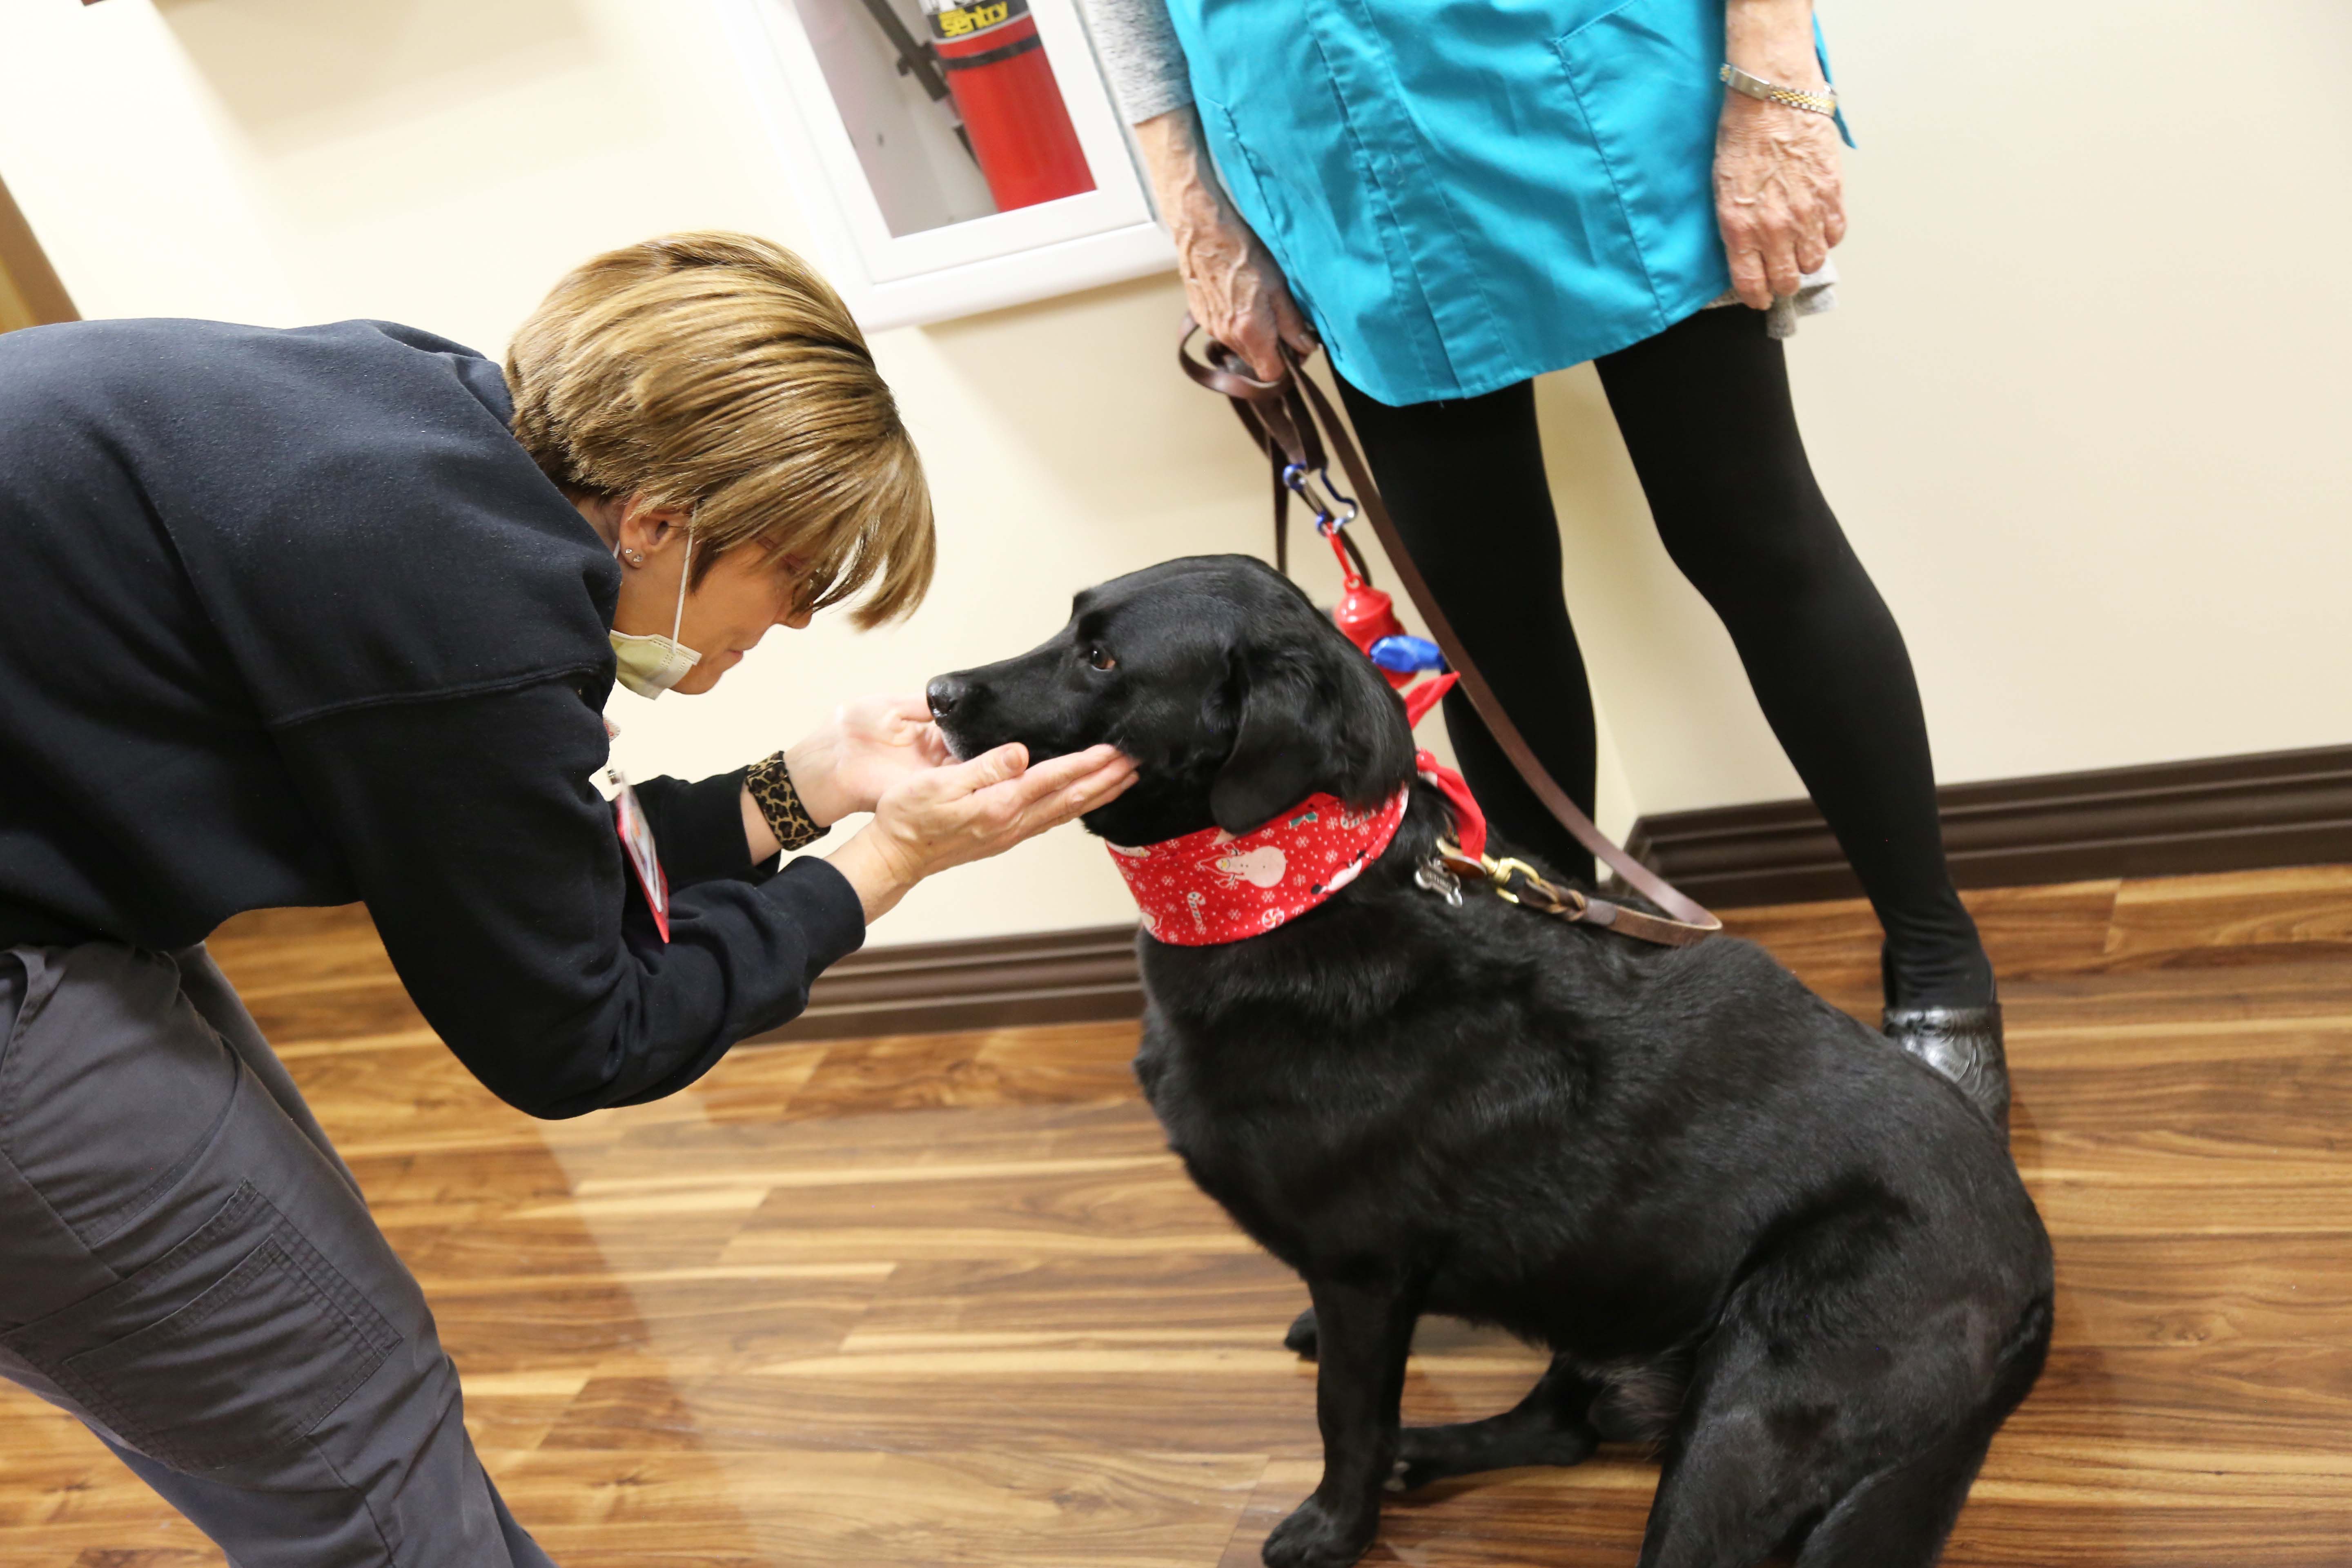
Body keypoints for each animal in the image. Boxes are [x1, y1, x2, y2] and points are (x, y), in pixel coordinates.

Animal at [927, 557, 2051, 1568]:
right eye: (1069, 624)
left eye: (1102, 657)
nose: (934, 693)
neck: (1291, 889)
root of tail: (2037, 1277)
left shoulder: (1360, 1267)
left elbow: (1347, 1416)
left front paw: (1333, 1530)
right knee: (1560, 1428)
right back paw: (1429, 1453)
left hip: (1751, 1406)